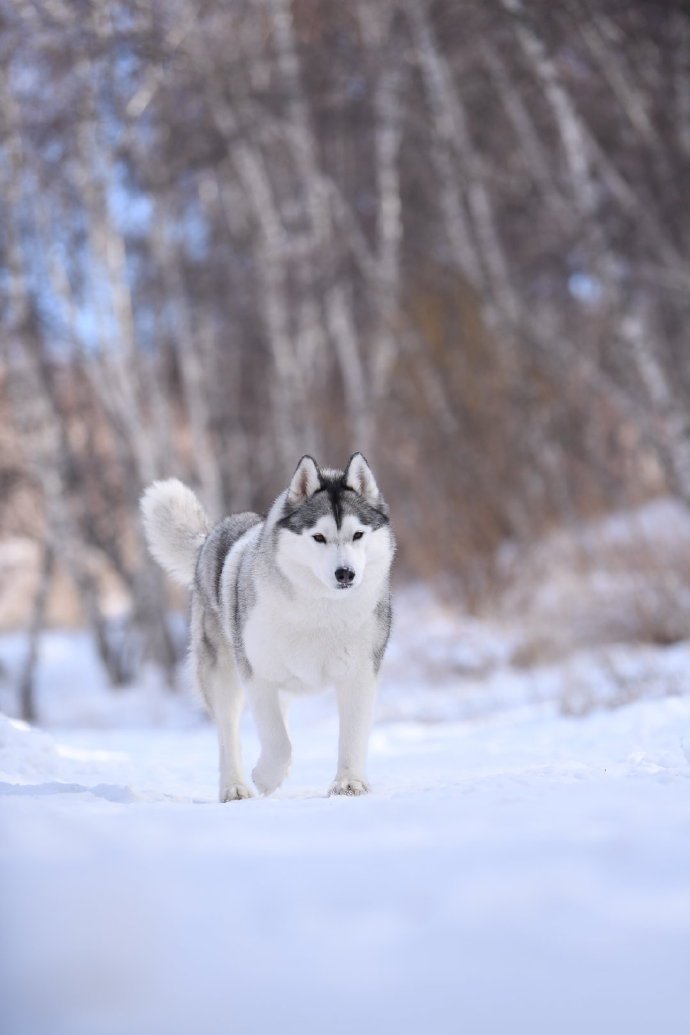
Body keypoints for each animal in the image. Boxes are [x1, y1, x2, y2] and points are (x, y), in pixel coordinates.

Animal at [141, 453, 393, 799]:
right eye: (318, 537)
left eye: (357, 535)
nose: (345, 573)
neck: (320, 609)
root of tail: (210, 537)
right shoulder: (257, 675)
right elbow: (278, 741)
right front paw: (265, 777)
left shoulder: (360, 675)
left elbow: (352, 736)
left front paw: (349, 783)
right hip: (223, 677)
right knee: (228, 735)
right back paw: (235, 787)